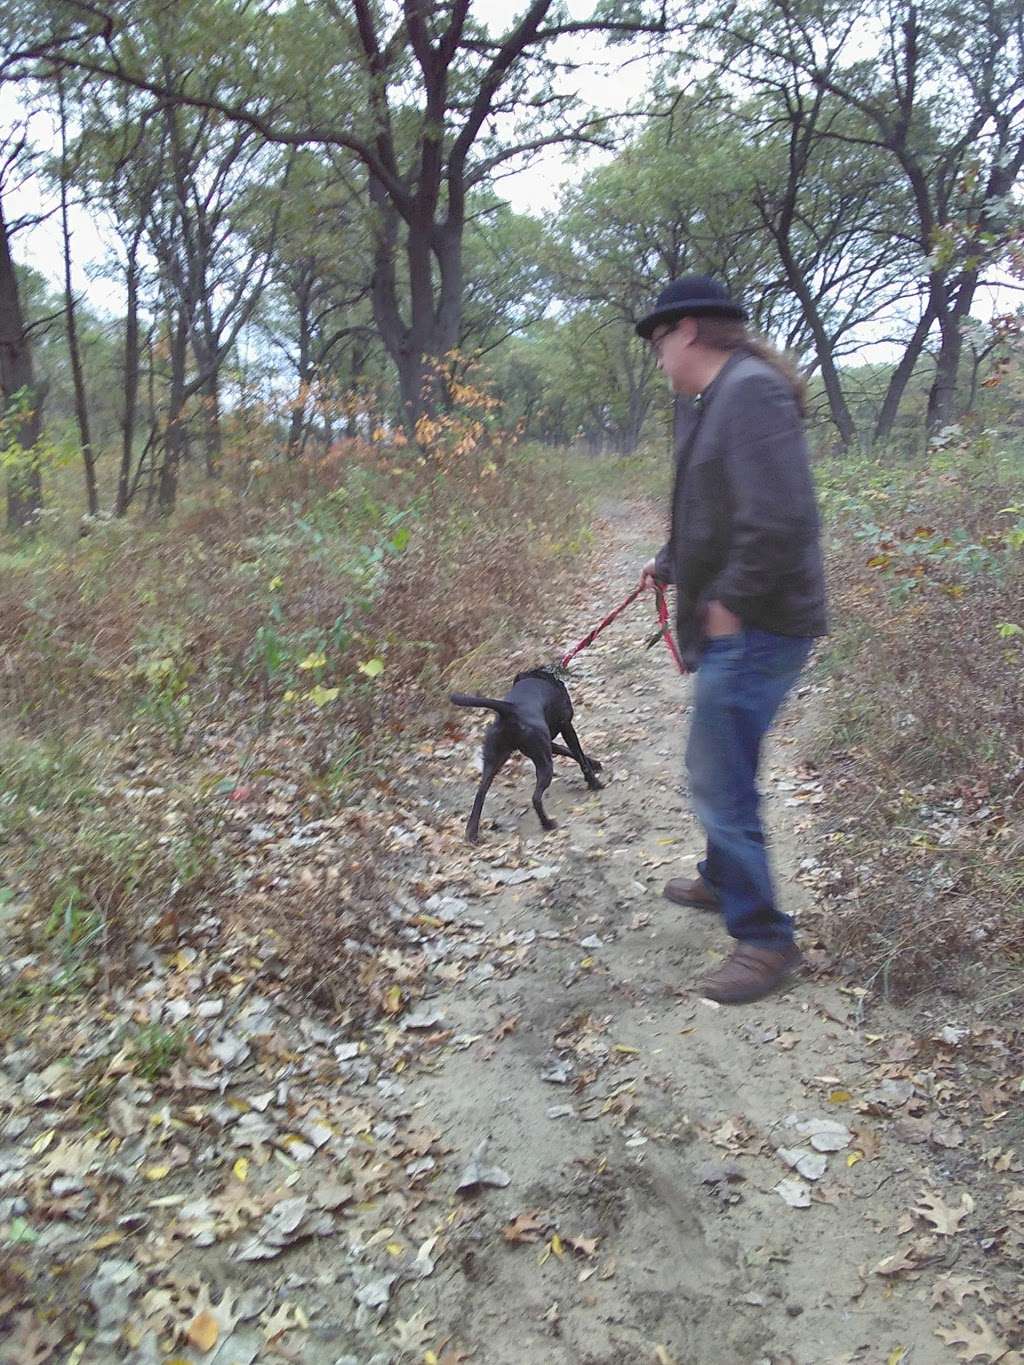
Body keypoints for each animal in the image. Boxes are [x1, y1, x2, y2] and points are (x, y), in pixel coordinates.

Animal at [447, 663, 600, 840]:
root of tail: (509, 710)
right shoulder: (566, 726)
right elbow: (578, 754)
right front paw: (593, 781)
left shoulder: (549, 742)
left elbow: (566, 750)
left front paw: (595, 763)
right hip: (544, 763)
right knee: (535, 798)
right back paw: (547, 824)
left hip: (494, 761)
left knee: (480, 794)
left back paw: (471, 833)